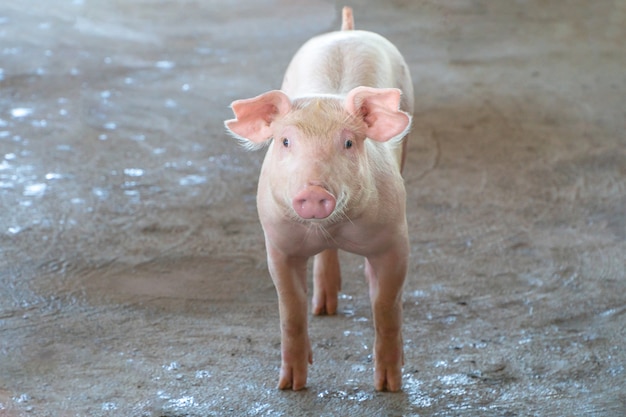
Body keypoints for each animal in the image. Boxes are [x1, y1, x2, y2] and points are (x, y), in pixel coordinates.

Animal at [223, 5, 410, 390]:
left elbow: (386, 306)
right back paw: (324, 308)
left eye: (349, 142)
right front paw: (290, 385)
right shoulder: (277, 243)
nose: (313, 192)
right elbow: (291, 309)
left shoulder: (396, 238)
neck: (332, 228)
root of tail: (346, 31)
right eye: (285, 141)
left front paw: (388, 386)